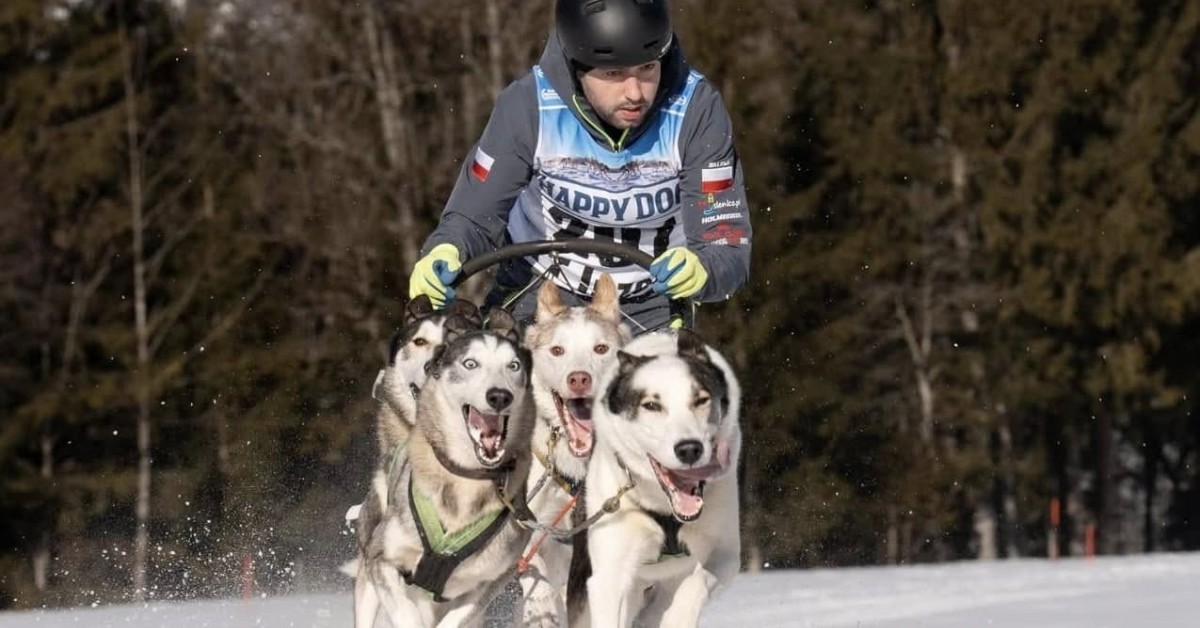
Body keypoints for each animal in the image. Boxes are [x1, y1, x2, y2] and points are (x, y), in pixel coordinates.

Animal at [352, 309, 537, 628]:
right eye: (470, 363)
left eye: (513, 366)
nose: (500, 396)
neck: (466, 479)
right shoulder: (382, 557)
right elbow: (406, 615)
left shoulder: (488, 582)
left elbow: (458, 617)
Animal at [580, 331, 739, 624]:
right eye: (651, 405)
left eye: (701, 399)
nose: (689, 449)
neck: (665, 509)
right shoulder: (609, 576)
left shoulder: (726, 554)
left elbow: (695, 583)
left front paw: (679, 614)